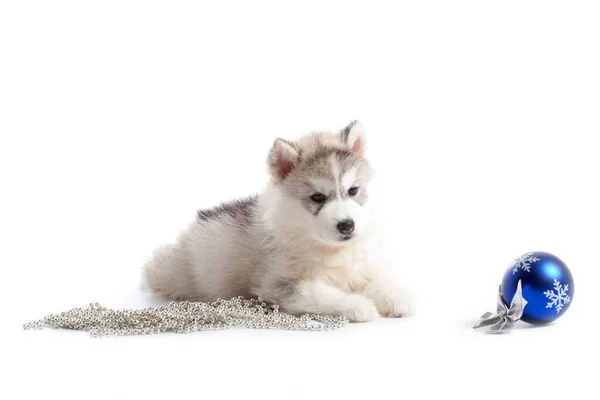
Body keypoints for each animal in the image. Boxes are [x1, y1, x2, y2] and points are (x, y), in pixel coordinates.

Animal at [144, 121, 414, 322]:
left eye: (353, 191)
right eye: (317, 197)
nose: (347, 225)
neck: (330, 249)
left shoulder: (362, 267)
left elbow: (378, 280)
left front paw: (397, 297)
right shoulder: (279, 284)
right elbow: (323, 294)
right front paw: (358, 306)